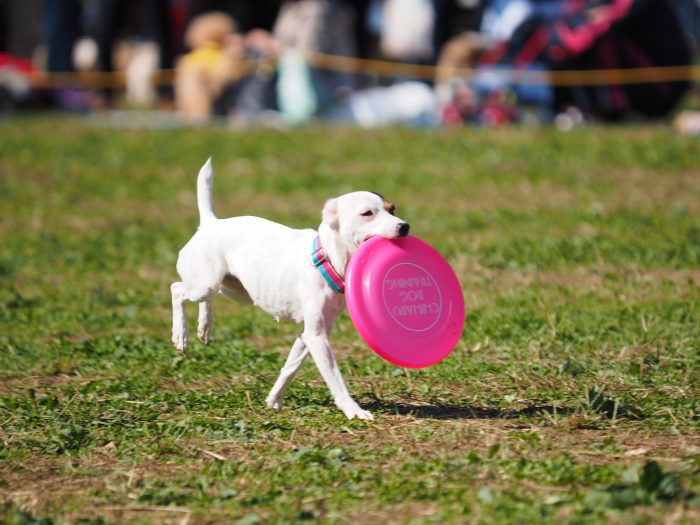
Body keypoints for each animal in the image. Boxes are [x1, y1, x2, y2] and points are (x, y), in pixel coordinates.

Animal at [171, 158, 410, 420]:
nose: (404, 226)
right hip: (206, 284)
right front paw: (353, 410)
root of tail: (210, 223)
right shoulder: (317, 337)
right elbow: (335, 379)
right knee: (177, 289)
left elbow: (290, 366)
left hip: (233, 289)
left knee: (206, 298)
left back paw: (204, 326)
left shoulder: (310, 334)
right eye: (367, 213)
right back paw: (181, 335)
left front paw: (274, 399)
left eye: (392, 209)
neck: (326, 259)